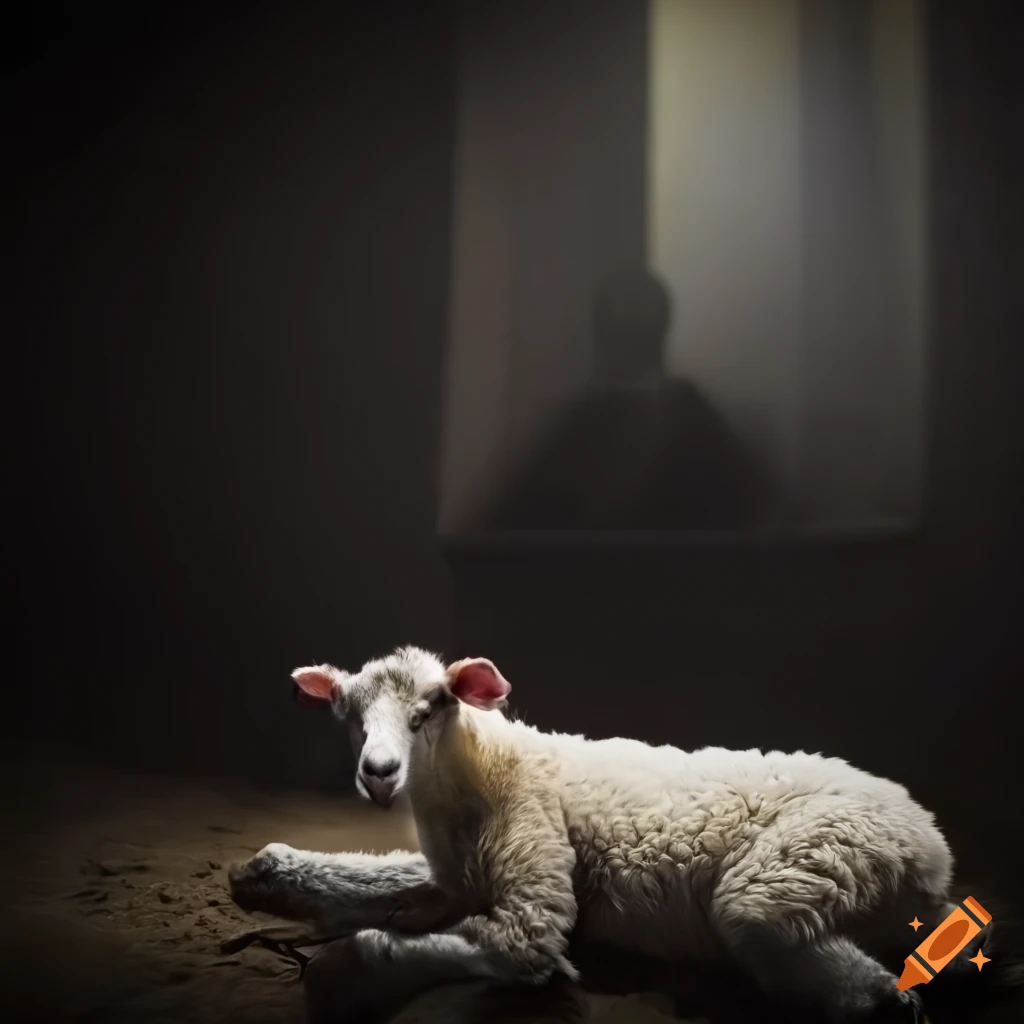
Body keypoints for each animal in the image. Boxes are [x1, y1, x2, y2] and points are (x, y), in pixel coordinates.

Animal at [228, 646, 1001, 1022]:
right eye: (351, 716)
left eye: (433, 706)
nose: (380, 772)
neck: (483, 773)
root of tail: (930, 845)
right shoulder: (451, 877)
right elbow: (379, 878)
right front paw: (262, 875)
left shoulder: (532, 874)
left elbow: (514, 949)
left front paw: (341, 975)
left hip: (794, 868)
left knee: (831, 969)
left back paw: (892, 1003)